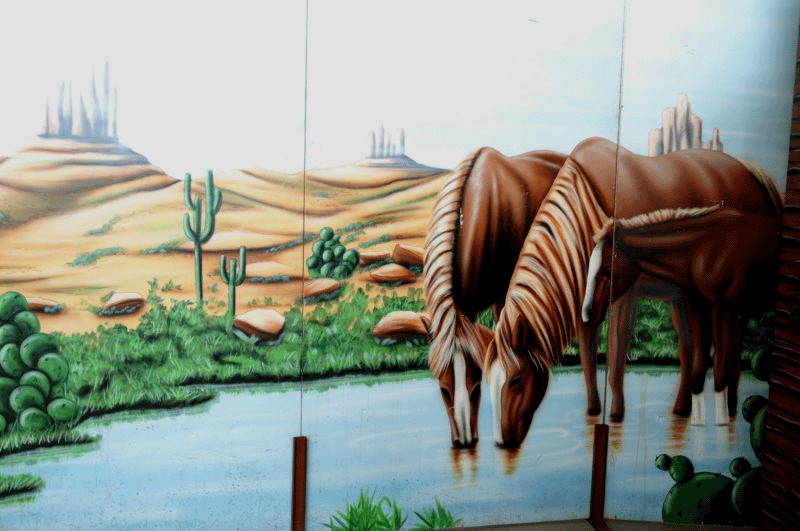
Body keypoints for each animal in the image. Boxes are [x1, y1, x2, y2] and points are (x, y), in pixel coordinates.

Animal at [582, 205, 782, 425]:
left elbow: (719, 369)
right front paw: (697, 422)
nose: (587, 313)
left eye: (607, 270)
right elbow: (698, 365)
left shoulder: (722, 307)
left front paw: (720, 423)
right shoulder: (698, 306)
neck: (704, 249)